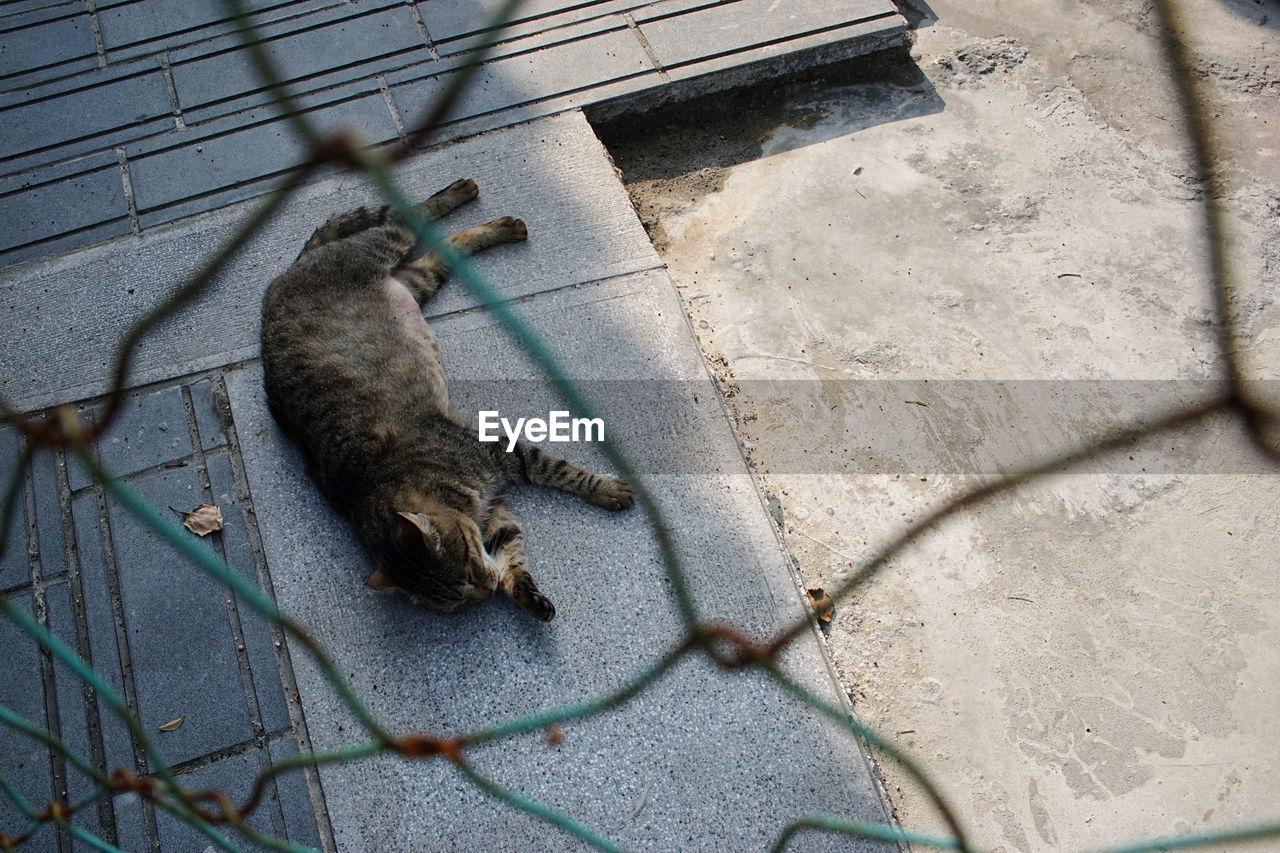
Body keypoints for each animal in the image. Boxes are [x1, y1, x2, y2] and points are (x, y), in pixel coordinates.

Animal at [261, 179, 634, 617]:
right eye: (458, 599)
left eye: (470, 568)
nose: (487, 590)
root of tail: (282, 277)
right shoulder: (491, 507)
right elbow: (509, 546)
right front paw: (524, 593)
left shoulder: (496, 451)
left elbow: (556, 469)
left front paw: (606, 490)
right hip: (418, 277)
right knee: (446, 245)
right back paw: (500, 223)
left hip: (386, 244)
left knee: (407, 215)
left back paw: (469, 197)